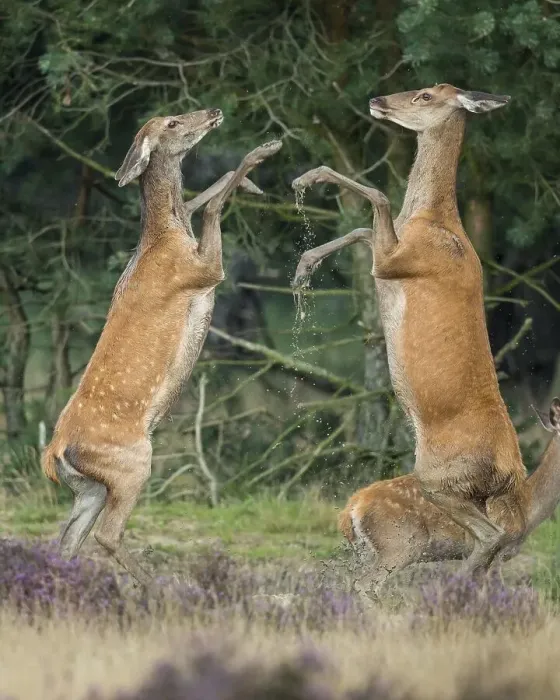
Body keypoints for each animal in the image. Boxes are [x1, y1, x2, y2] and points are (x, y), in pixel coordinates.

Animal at [41, 108, 282, 585]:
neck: (167, 237)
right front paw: (264, 150)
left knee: (68, 540)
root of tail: (53, 451)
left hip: (89, 487)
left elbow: (199, 198)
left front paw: (252, 183)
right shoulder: (203, 271)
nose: (212, 111)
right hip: (134, 462)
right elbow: (210, 207)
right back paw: (155, 586)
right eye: (171, 123)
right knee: (106, 534)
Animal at [291, 84, 527, 579]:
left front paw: (308, 177)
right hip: (465, 491)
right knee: (496, 537)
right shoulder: (391, 254)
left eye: (425, 96)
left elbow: (378, 198)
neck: (433, 220)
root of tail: (511, 471)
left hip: (440, 475)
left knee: (491, 535)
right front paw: (305, 266)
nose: (378, 100)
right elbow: (362, 228)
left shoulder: (399, 259)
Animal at [338, 398, 560, 598]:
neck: (527, 507)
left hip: (366, 550)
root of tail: (353, 506)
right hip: (399, 544)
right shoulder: (498, 551)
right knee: (365, 584)